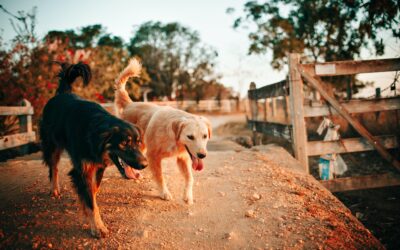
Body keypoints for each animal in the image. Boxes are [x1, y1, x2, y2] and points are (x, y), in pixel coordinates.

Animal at [40, 61, 148, 237]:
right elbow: (90, 201)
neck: (95, 133)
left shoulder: (98, 167)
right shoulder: (81, 170)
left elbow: (93, 192)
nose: (145, 165)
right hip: (52, 145)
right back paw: (54, 189)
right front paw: (97, 227)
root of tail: (62, 93)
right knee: (53, 167)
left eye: (138, 142)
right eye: (124, 143)